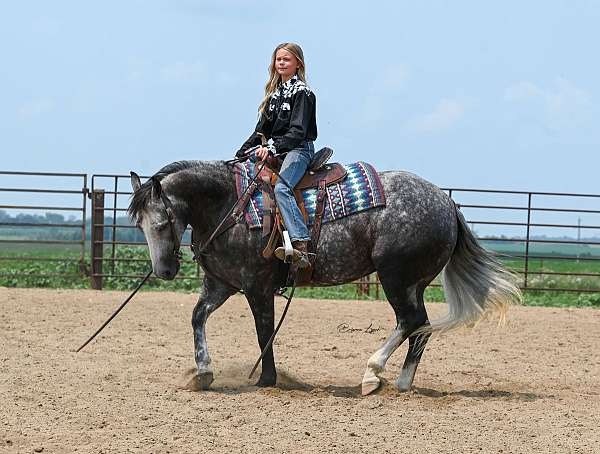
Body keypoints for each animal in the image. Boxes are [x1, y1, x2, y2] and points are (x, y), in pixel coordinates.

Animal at [130, 161, 520, 396]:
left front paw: (267, 379)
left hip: (395, 276)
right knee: (420, 327)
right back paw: (402, 382)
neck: (230, 205)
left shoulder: (258, 288)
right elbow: (197, 317)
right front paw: (203, 372)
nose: (164, 271)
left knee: (410, 321)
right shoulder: (221, 285)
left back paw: (372, 373)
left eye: (161, 223)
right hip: (414, 282)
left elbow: (264, 332)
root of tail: (447, 203)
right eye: (139, 225)